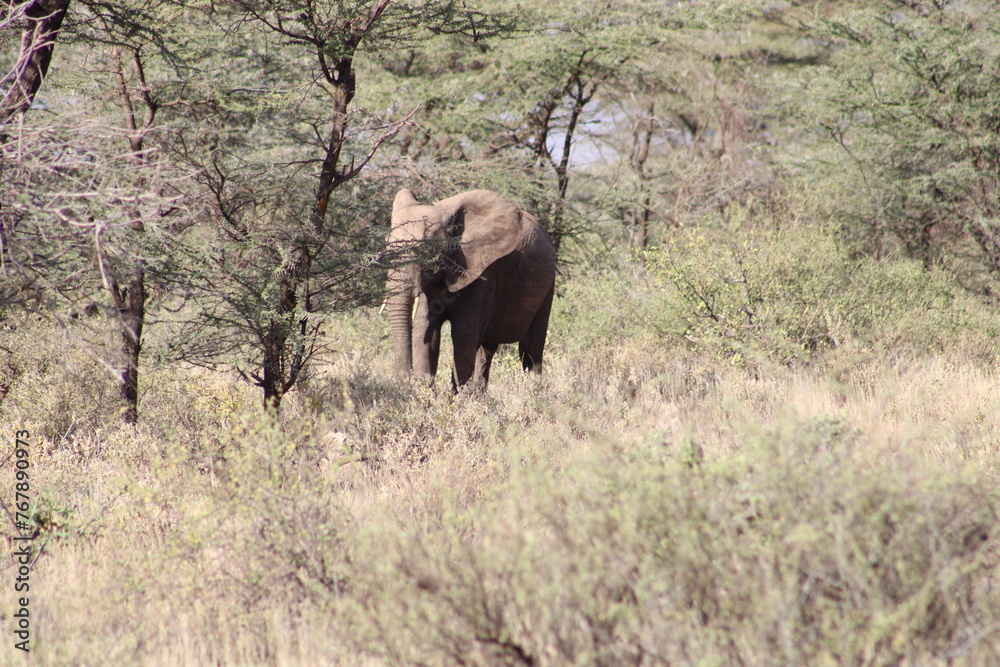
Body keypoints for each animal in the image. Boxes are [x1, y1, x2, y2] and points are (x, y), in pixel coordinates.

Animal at [384, 188, 556, 389]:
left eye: (425, 252)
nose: (406, 382)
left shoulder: (485, 271)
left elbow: (463, 334)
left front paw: (456, 397)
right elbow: (425, 330)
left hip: (548, 283)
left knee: (530, 350)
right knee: (486, 349)